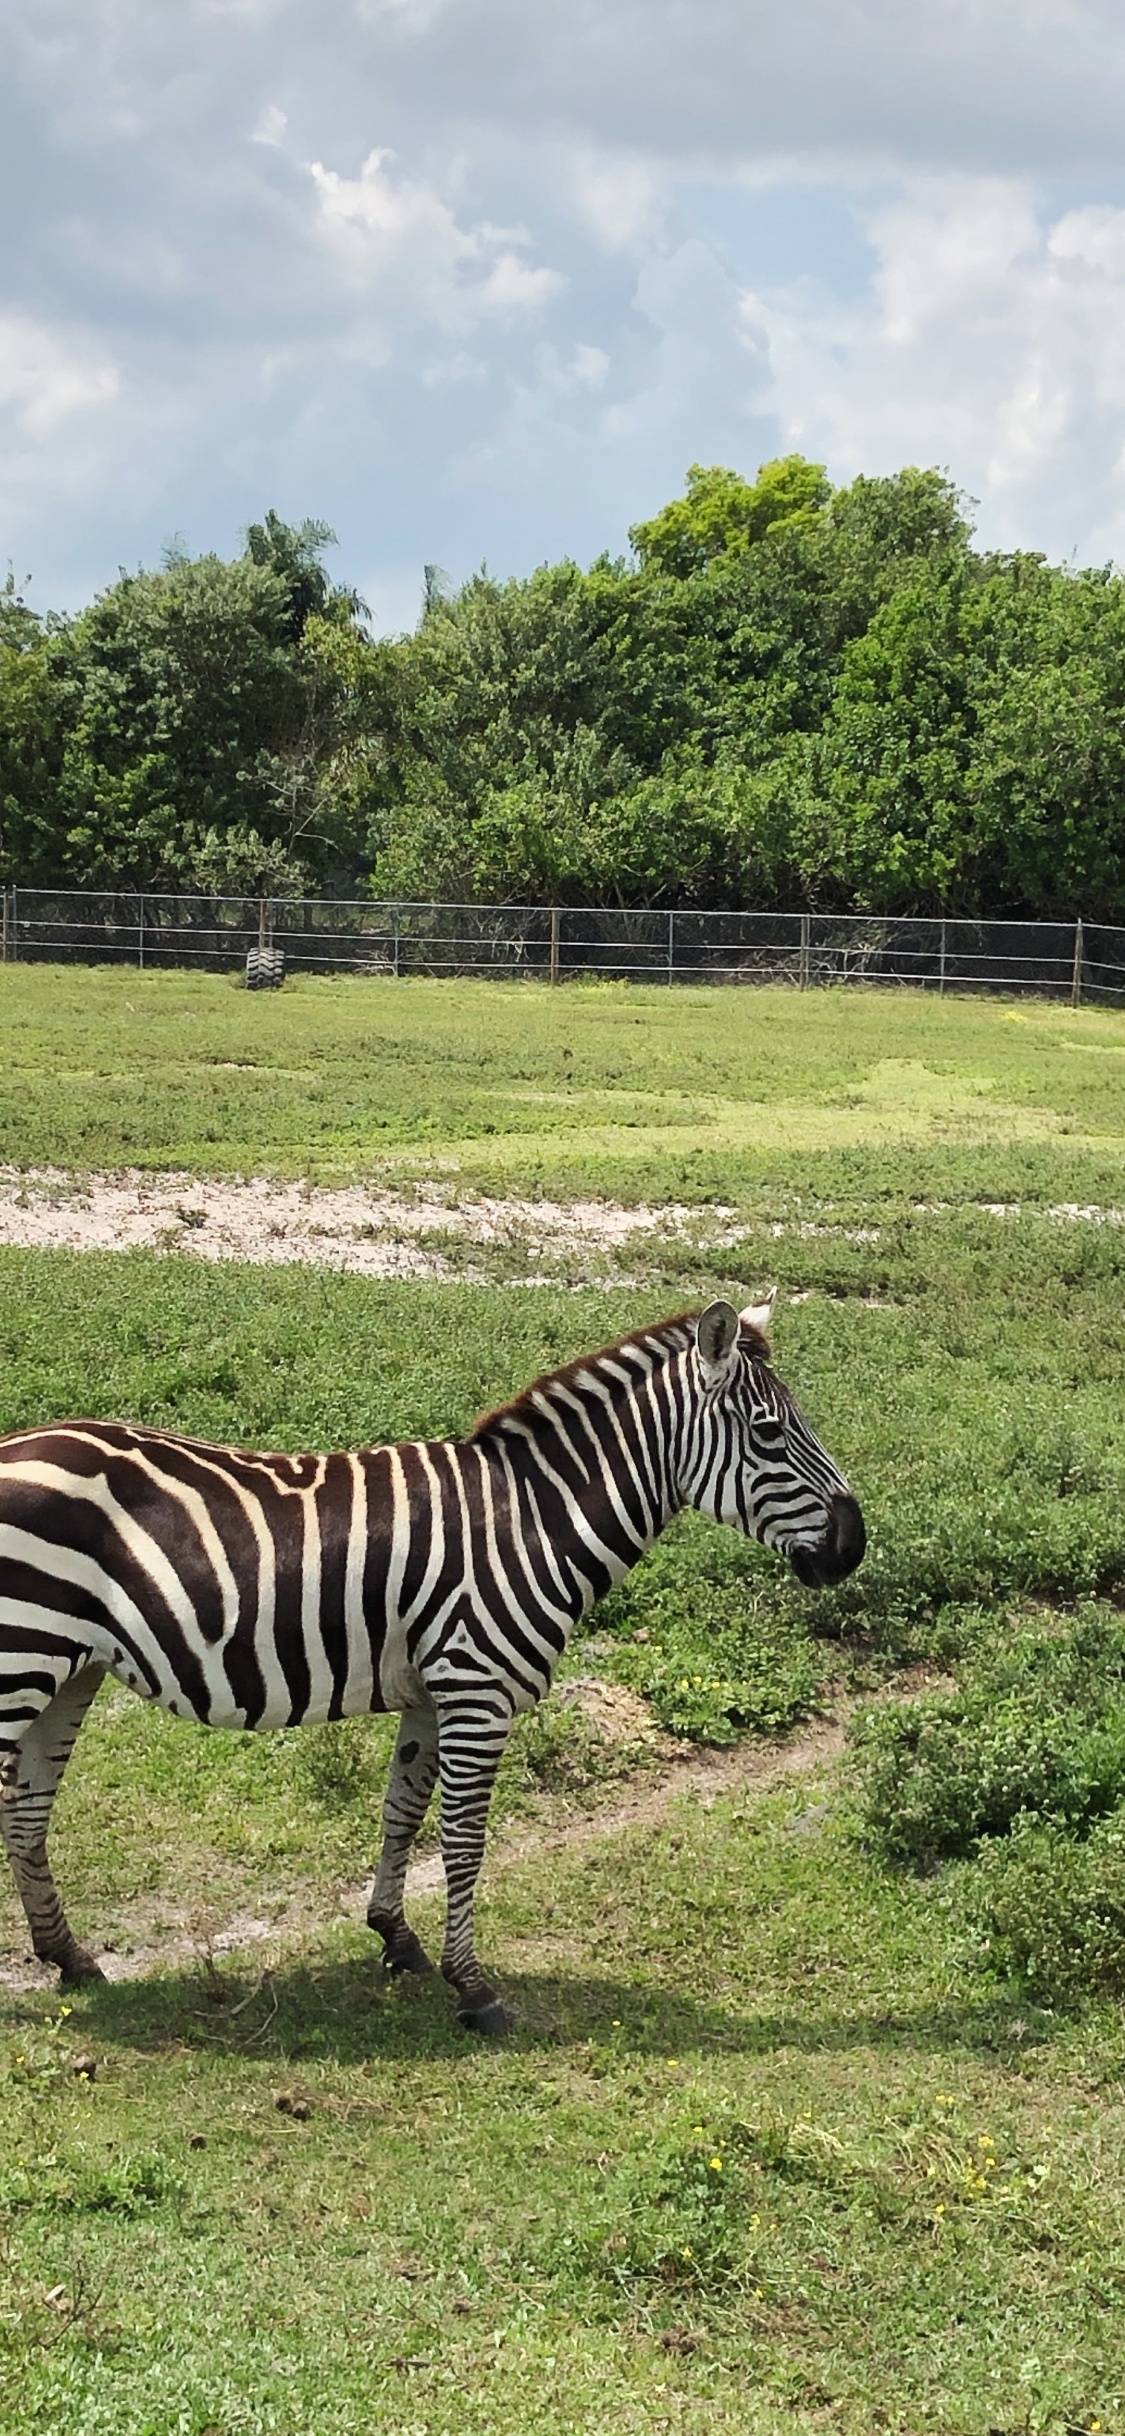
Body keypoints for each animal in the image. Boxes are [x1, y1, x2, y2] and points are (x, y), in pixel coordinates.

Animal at [0, 1296, 863, 2033]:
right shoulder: (477, 1688)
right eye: (768, 1434)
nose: (854, 1547)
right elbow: (464, 1835)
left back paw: (70, 1959)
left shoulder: (428, 1691)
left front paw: (395, 1938)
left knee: (28, 1807)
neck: (533, 1519)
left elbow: (402, 1812)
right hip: (22, 1655)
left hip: (70, 1668)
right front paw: (473, 1989)